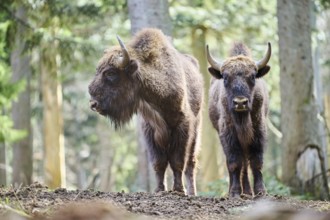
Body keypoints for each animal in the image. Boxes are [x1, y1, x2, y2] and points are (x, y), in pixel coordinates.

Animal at [87, 28, 202, 195]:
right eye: (97, 70)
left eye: (111, 73)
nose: (93, 104)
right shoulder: (150, 130)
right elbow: (159, 162)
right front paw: (159, 189)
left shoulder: (183, 127)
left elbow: (177, 161)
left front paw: (179, 190)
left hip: (197, 131)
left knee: (191, 163)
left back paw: (192, 192)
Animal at [206, 42, 270, 197]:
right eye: (225, 77)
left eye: (253, 76)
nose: (240, 103)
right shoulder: (228, 135)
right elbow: (234, 162)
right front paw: (235, 192)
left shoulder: (258, 132)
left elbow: (256, 161)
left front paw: (261, 191)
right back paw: (239, 191)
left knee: (246, 163)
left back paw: (247, 192)